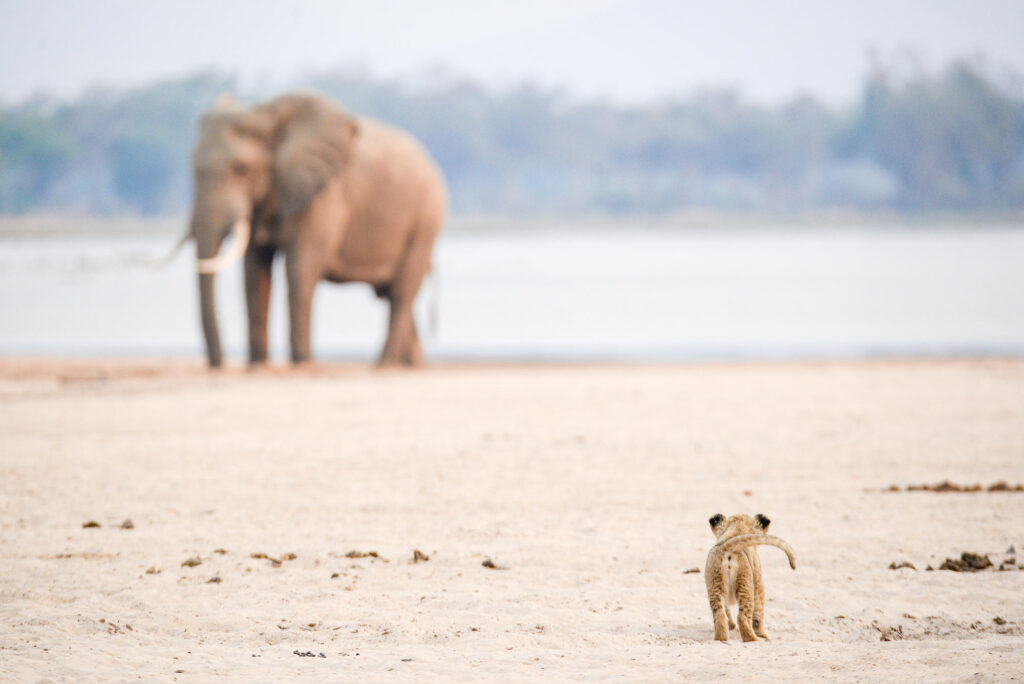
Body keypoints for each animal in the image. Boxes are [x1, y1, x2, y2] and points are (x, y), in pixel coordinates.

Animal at [185, 94, 448, 368]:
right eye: (192, 169)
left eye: (241, 169)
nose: (217, 364)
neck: (266, 112)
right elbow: (254, 271)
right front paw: (257, 365)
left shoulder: (325, 195)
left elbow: (300, 267)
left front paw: (302, 362)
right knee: (388, 292)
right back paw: (412, 365)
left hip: (425, 220)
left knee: (401, 293)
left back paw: (383, 365)